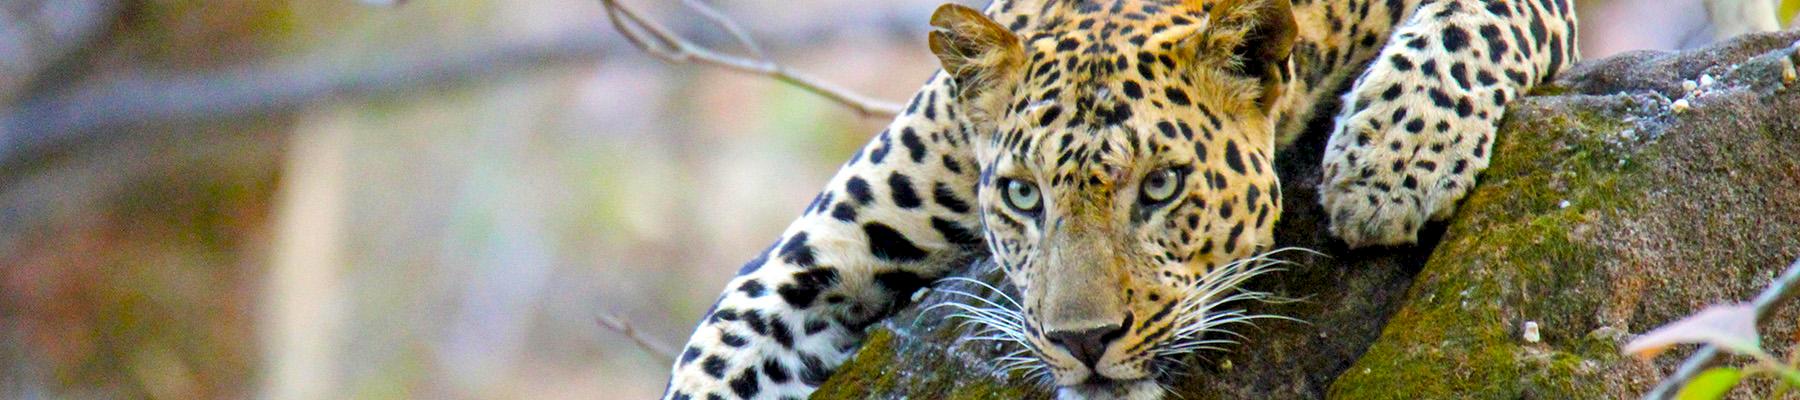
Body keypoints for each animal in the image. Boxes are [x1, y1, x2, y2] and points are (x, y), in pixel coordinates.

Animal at [658, 0, 1576, 398]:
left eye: (1161, 186)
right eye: (1022, 195)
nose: (1084, 340)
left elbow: (1478, 21)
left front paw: (1390, 162)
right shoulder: (822, 250)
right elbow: (715, 359)